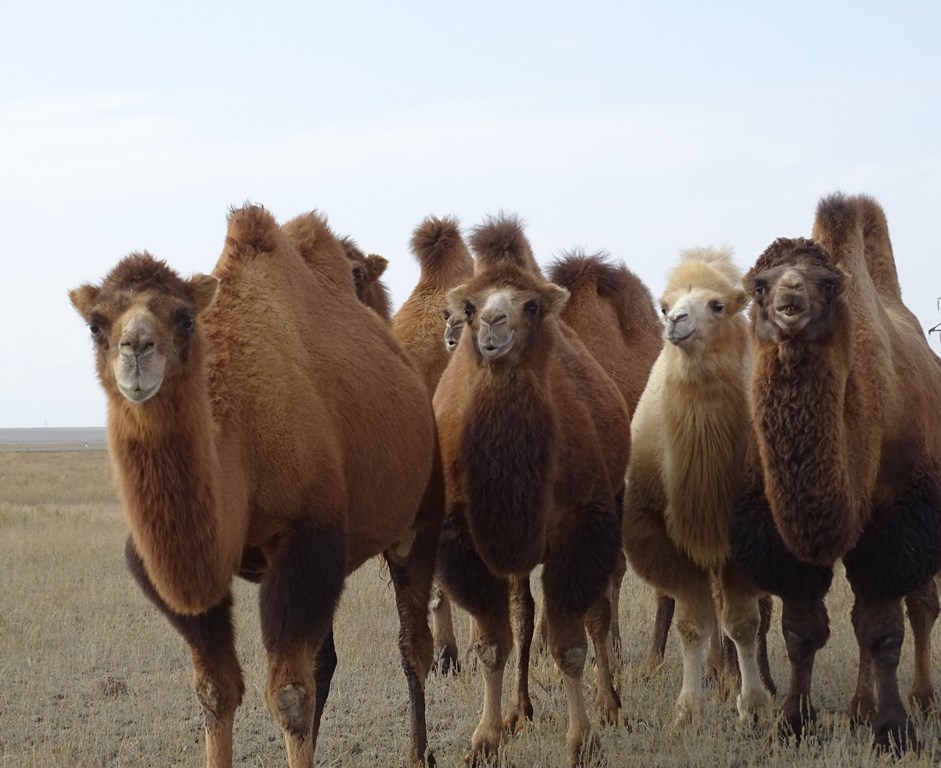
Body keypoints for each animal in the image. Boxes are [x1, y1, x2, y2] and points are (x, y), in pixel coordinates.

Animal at [68, 206, 442, 768]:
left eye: (185, 317)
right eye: (95, 325)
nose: (136, 349)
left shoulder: (306, 541)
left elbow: (289, 696)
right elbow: (216, 690)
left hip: (416, 521)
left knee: (411, 644)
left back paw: (419, 752)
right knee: (327, 658)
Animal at [436, 214, 632, 760]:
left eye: (531, 306)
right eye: (469, 306)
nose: (490, 325)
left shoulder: (580, 530)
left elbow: (570, 644)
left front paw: (583, 739)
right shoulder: (467, 542)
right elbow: (493, 643)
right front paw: (486, 736)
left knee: (598, 609)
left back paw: (610, 704)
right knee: (524, 614)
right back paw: (518, 710)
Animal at [620, 246, 776, 728]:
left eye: (718, 305)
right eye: (664, 306)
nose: (677, 322)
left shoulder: (744, 536)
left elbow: (742, 622)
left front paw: (753, 703)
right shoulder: (668, 535)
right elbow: (691, 622)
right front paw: (689, 708)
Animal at [732, 192, 940, 752]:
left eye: (826, 283)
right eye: (759, 284)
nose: (790, 300)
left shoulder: (898, 518)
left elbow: (884, 629)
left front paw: (894, 731)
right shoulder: (777, 528)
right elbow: (803, 632)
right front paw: (791, 721)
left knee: (920, 606)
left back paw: (920, 700)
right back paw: (857, 707)